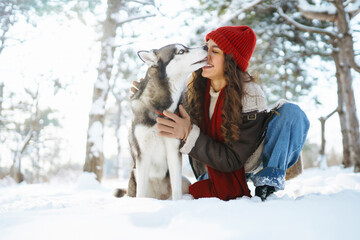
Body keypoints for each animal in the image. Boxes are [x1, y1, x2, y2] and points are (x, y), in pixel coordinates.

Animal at [124, 43, 207, 201]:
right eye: (181, 51)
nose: (206, 46)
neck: (160, 108)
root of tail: (159, 196)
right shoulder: (143, 153)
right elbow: (140, 193)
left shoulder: (173, 149)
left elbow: (176, 191)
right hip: (134, 173)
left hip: (185, 181)